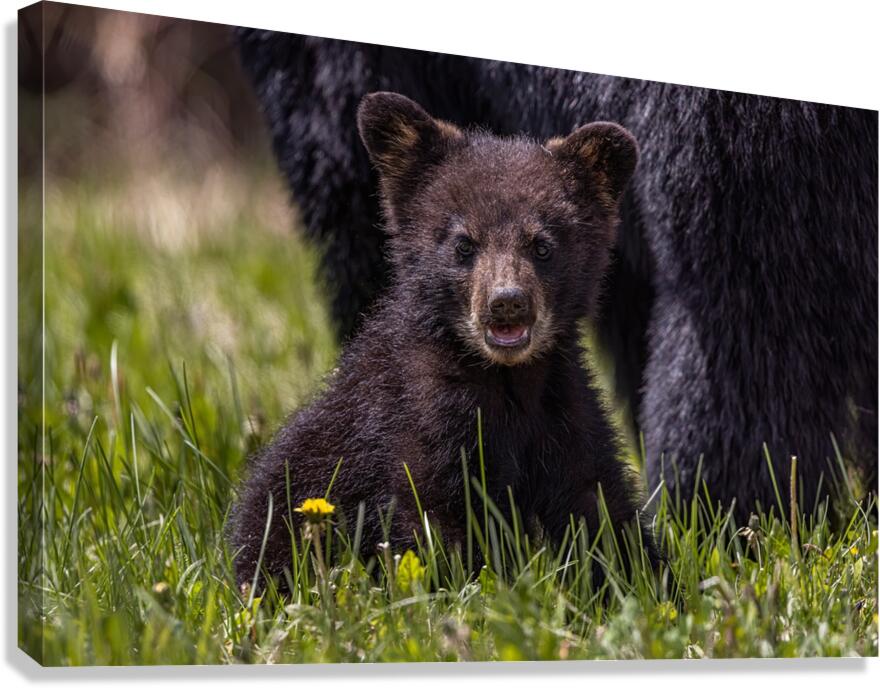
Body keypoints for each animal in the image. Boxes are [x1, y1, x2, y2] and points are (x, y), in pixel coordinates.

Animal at [228, 92, 658, 589]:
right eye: (463, 244)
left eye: (543, 245)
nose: (507, 303)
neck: (505, 380)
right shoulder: (416, 419)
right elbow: (433, 521)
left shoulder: (565, 408)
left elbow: (599, 504)